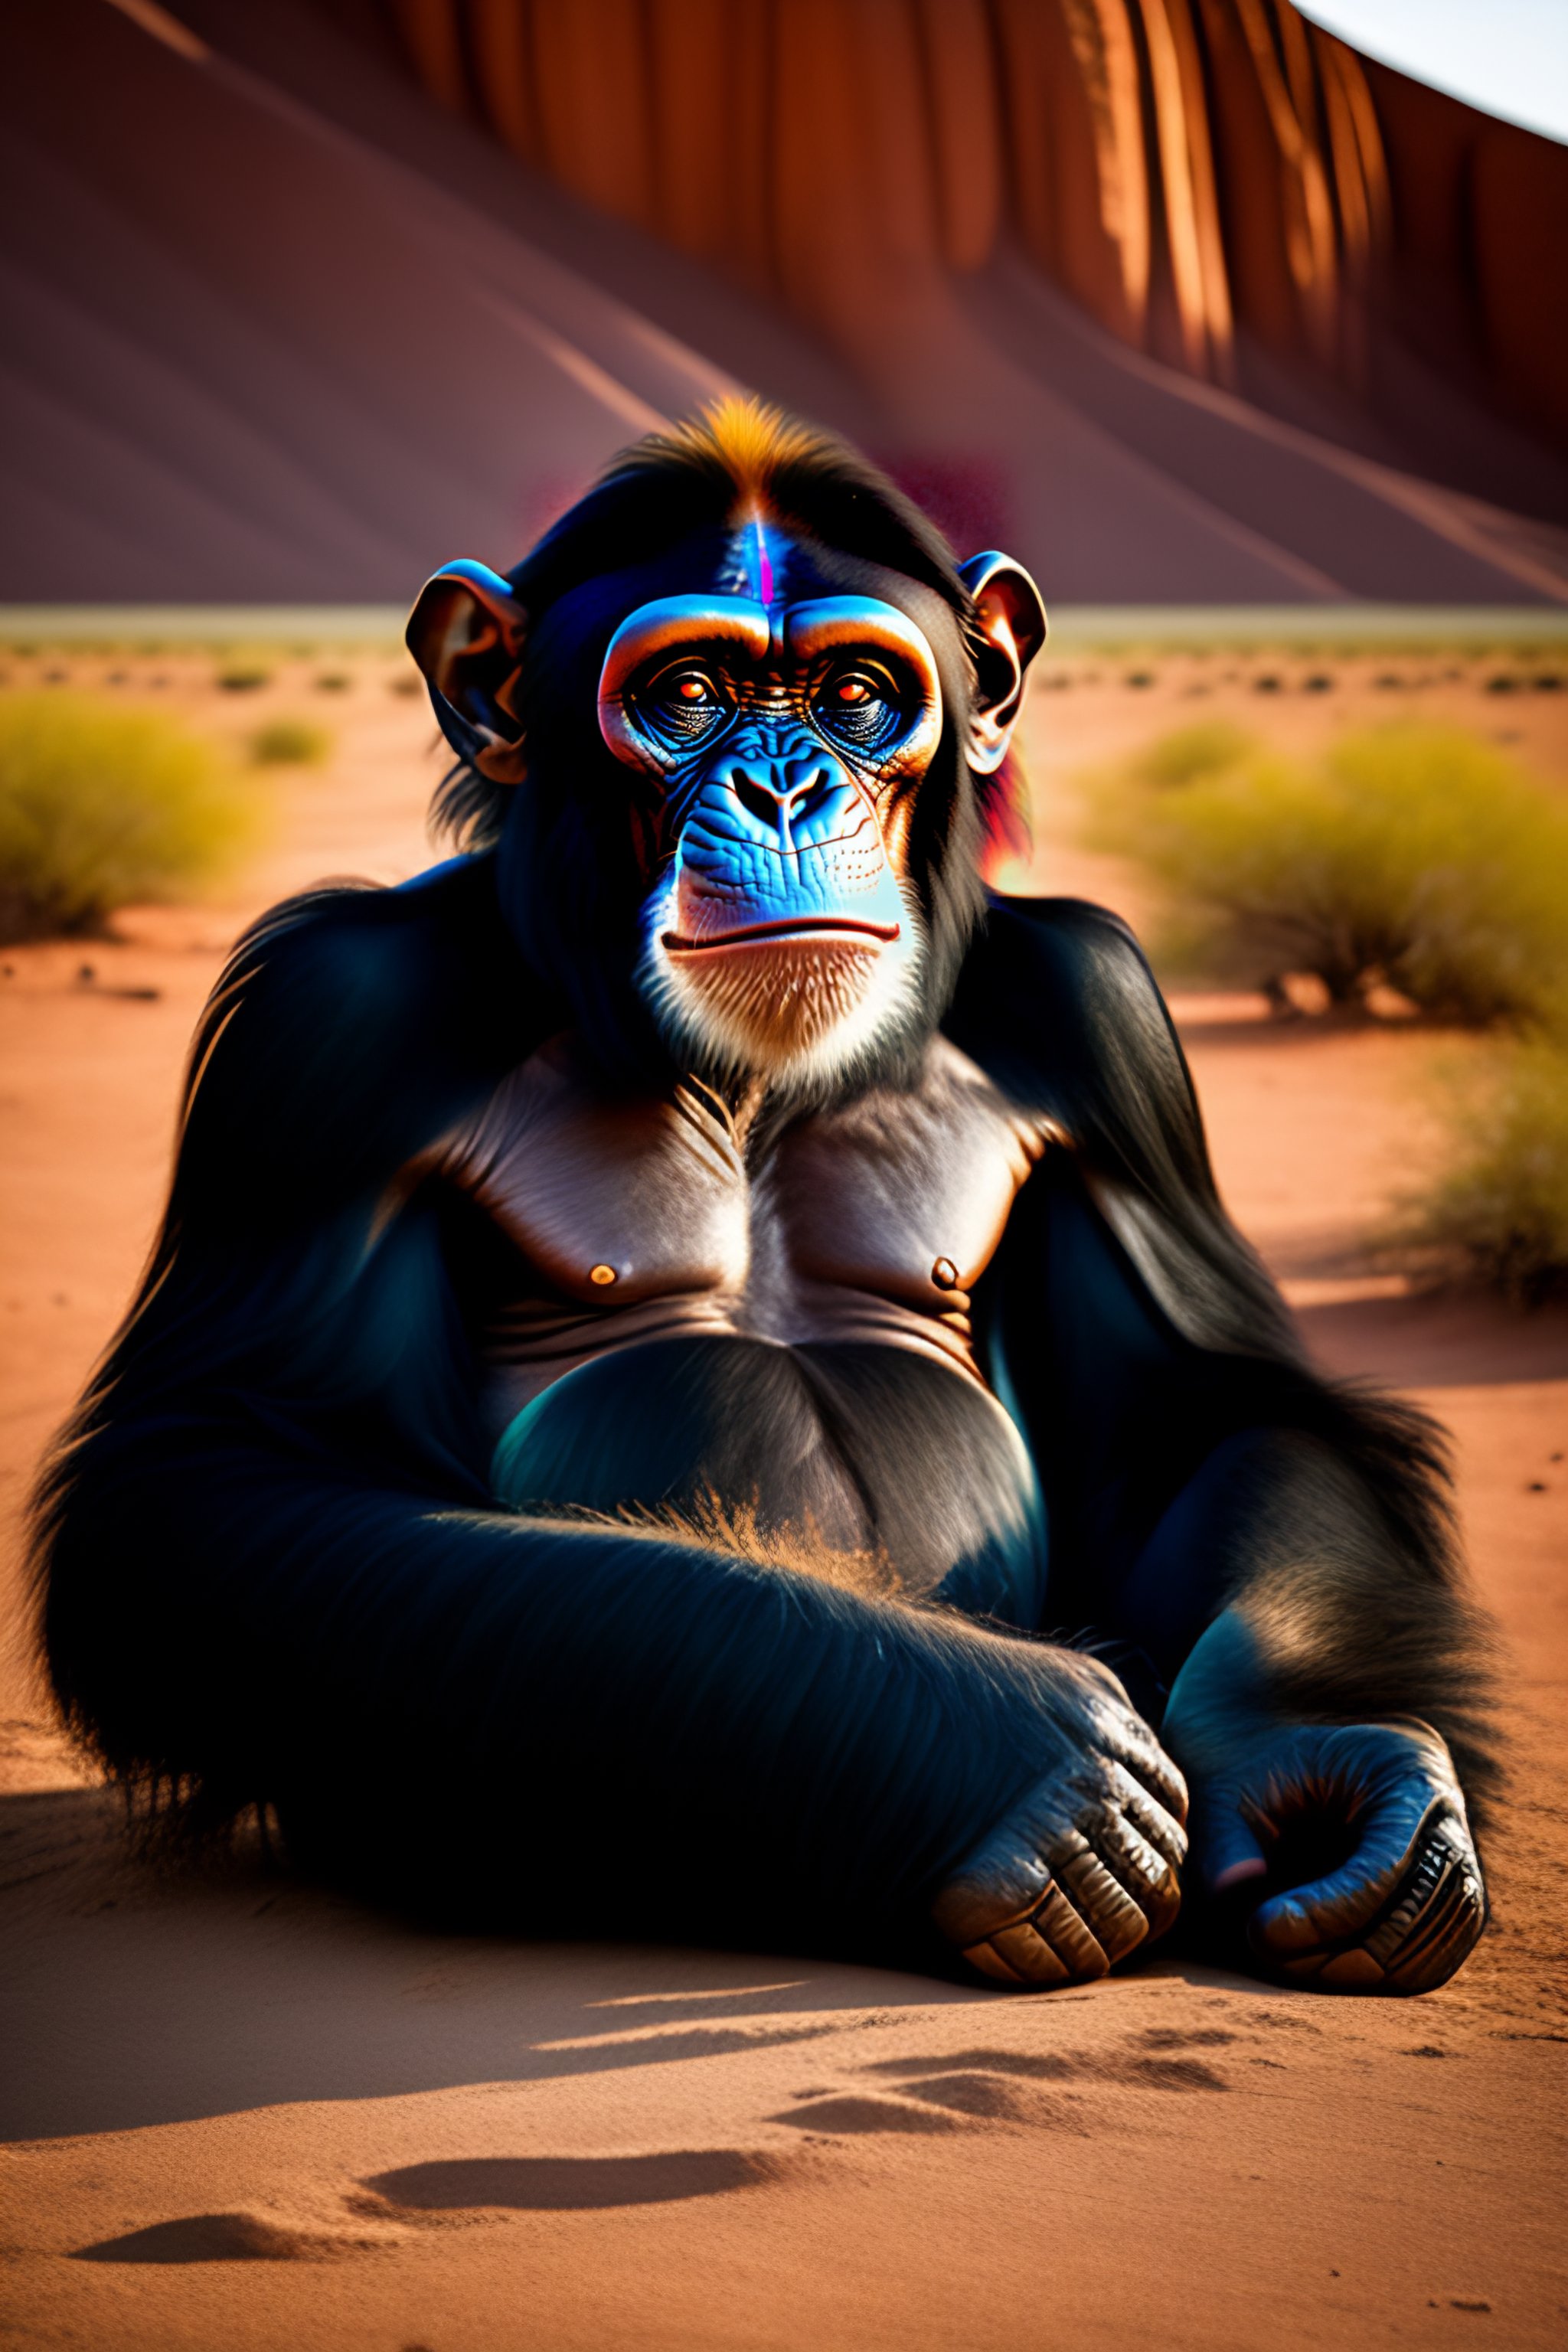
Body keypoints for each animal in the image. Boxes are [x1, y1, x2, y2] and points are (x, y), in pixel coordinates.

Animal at [30, 400, 1495, 1992]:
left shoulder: (1102, 1013)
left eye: (855, 693)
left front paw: (1326, 1763)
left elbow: (1200, 1407)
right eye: (689, 692)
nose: (786, 785)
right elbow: (218, 1462)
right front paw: (1001, 1744)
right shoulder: (325, 1032)